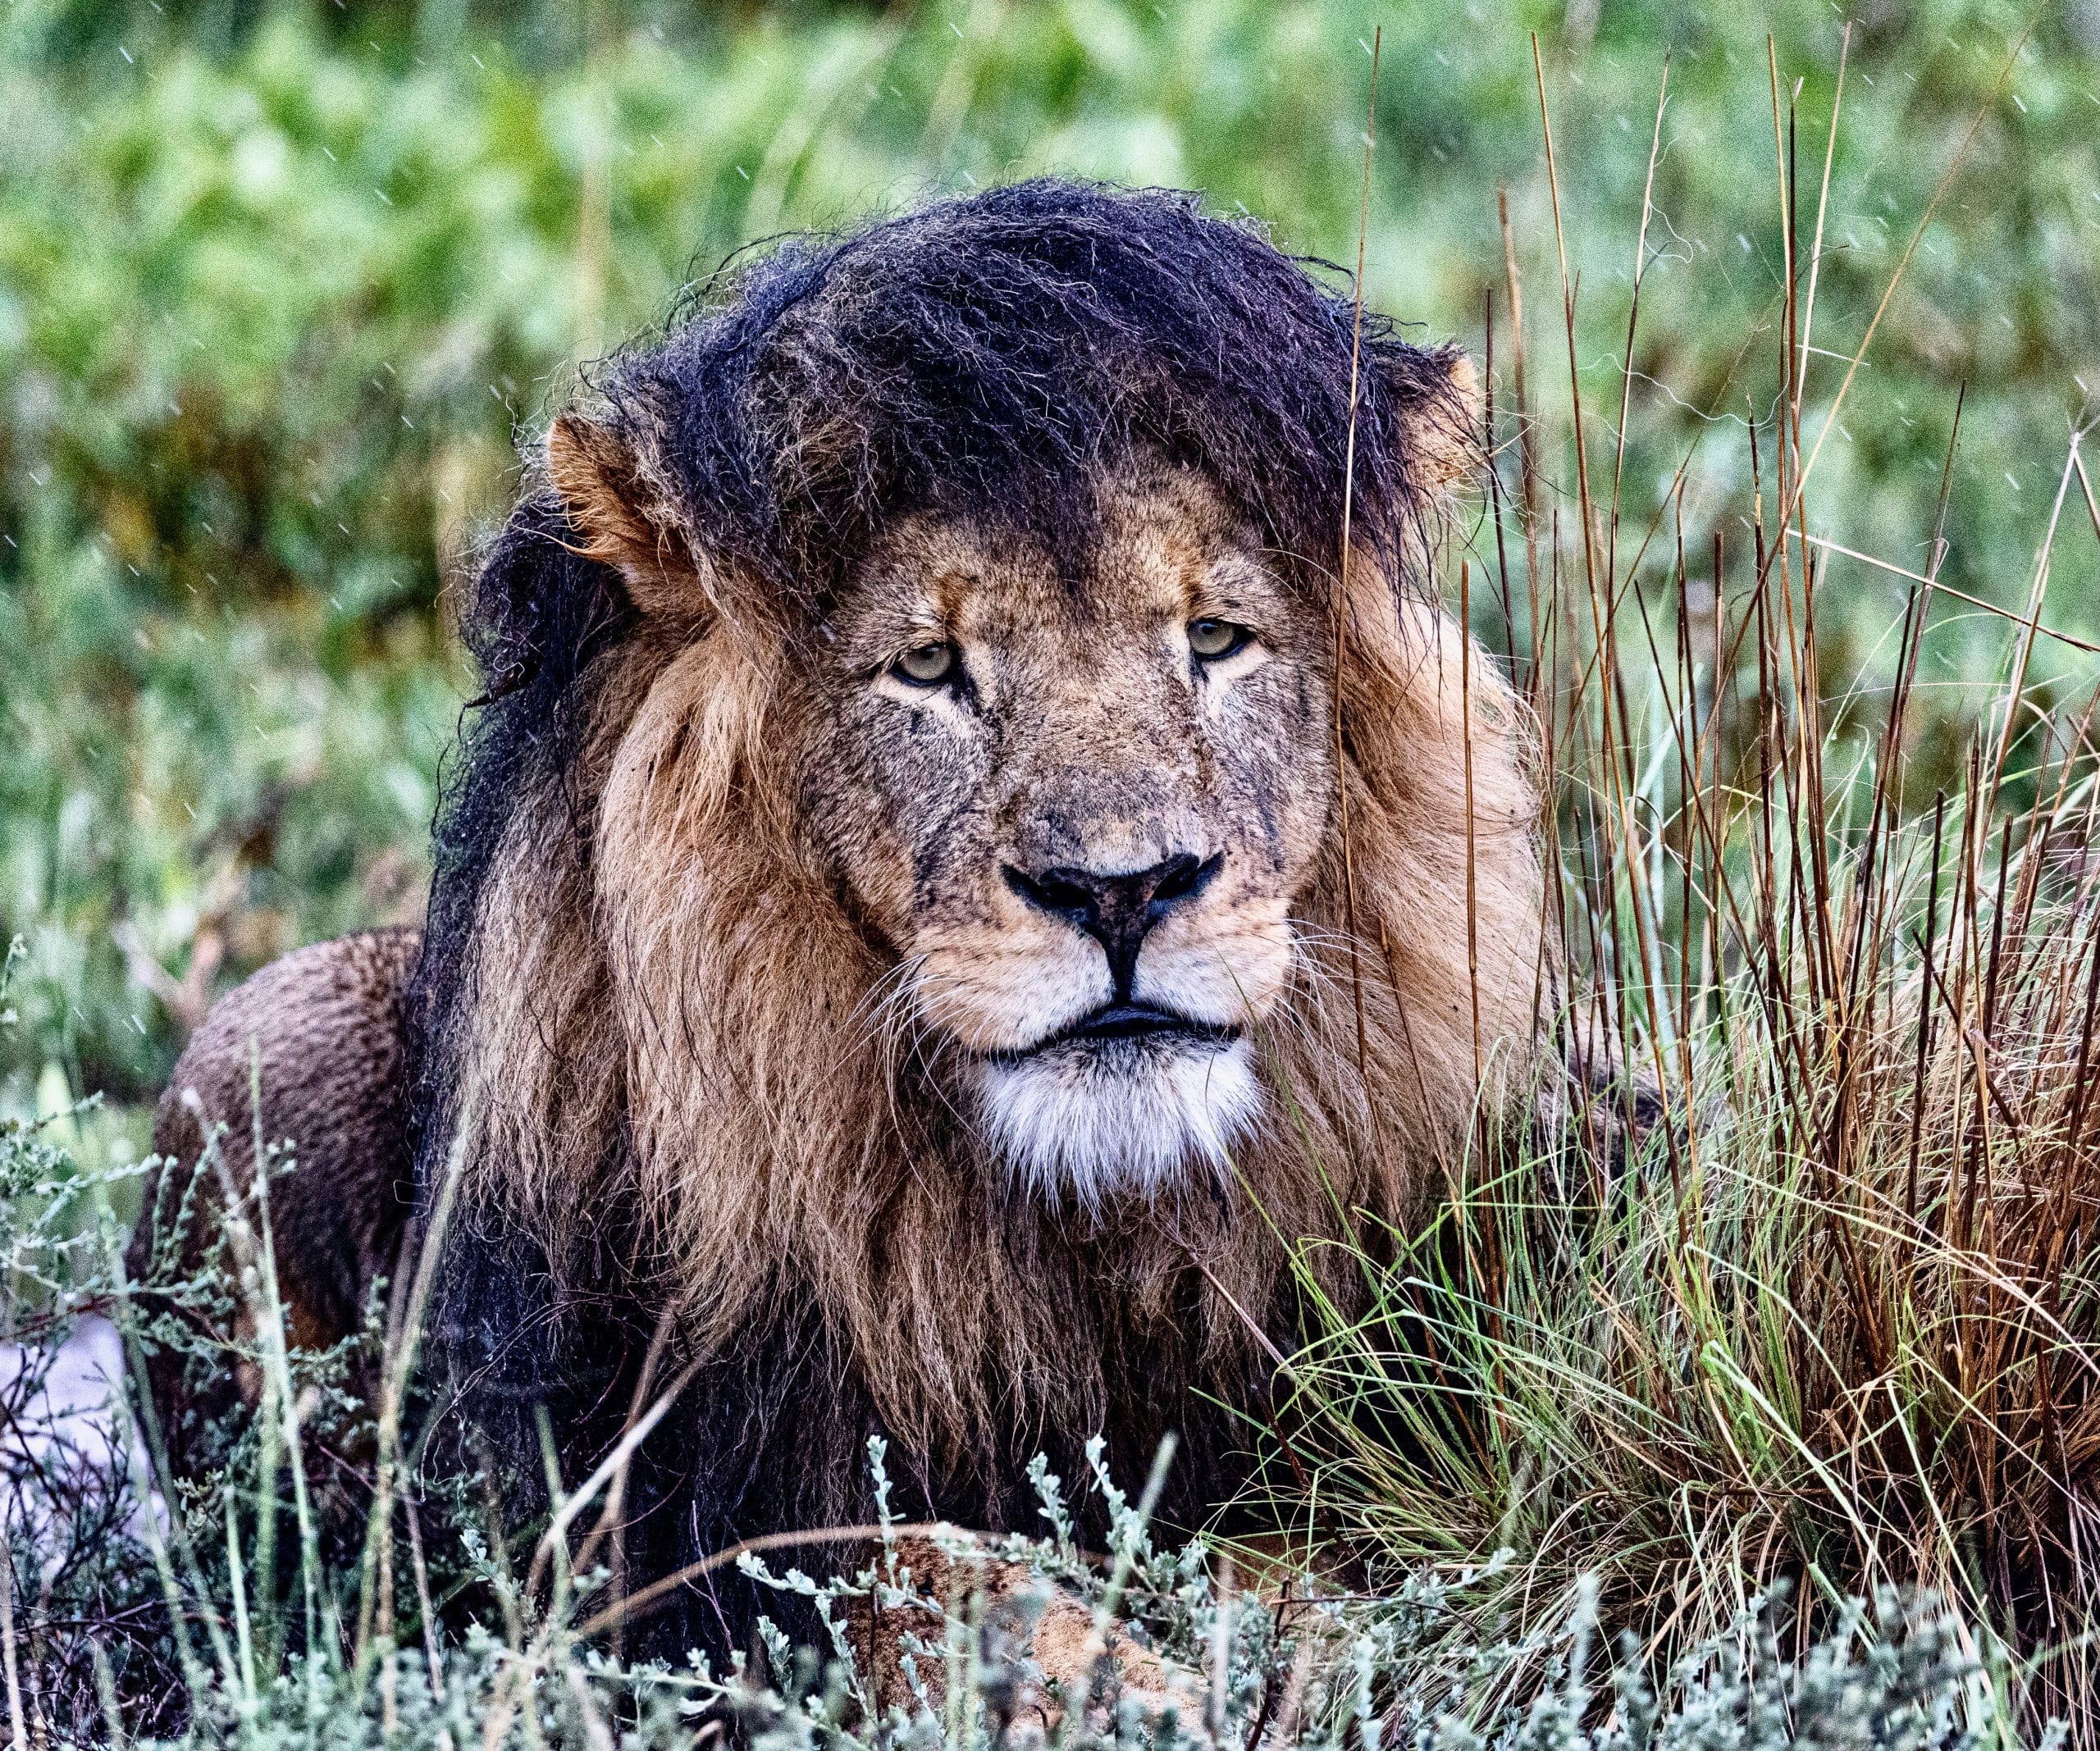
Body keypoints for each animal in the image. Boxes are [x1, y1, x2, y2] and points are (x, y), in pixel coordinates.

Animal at [126, 180, 1545, 1662]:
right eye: (927, 666)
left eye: (1215, 637)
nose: (1122, 890)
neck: (1059, 1239)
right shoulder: (666, 1564)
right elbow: (924, 1580)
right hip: (262, 1029)